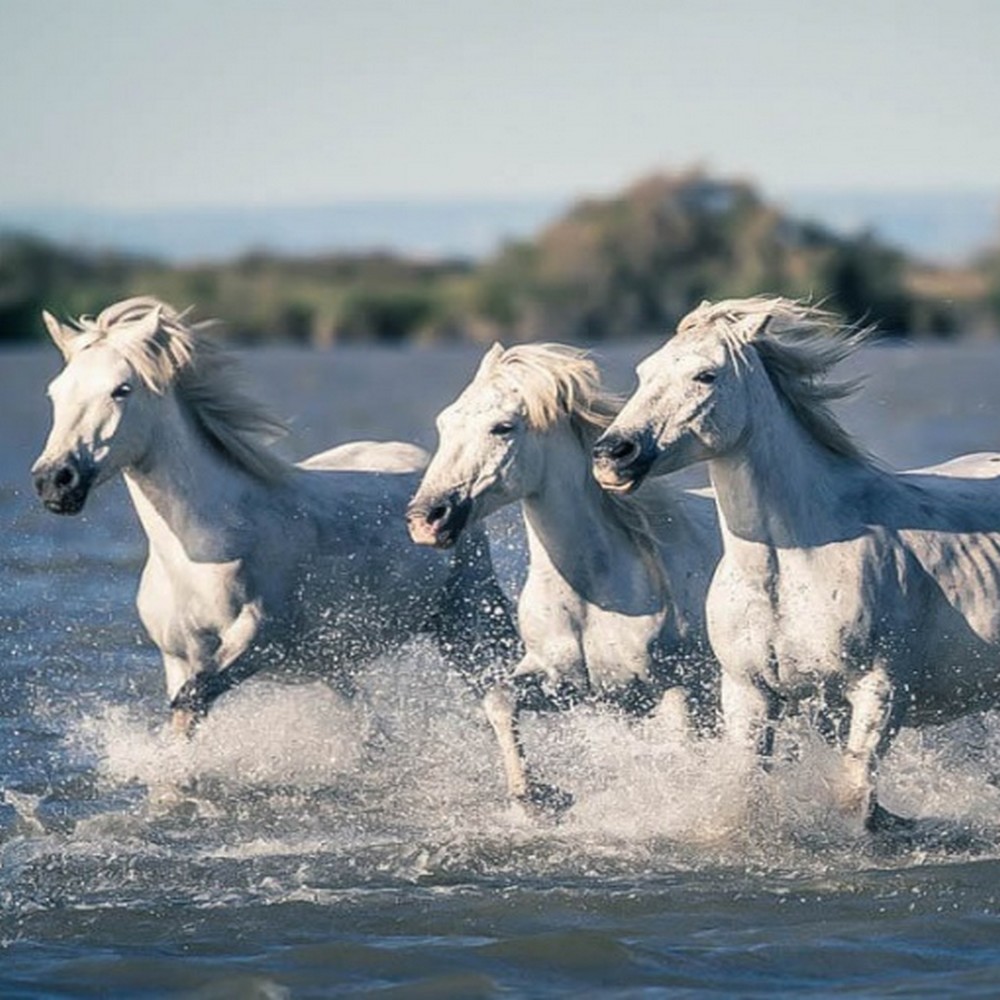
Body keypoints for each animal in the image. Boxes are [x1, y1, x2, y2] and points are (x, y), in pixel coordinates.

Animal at [31, 296, 516, 736]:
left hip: (464, 616)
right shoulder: (178, 656)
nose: (55, 480)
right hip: (335, 667)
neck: (202, 547)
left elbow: (193, 698)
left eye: (121, 389)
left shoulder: (260, 640)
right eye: (55, 392)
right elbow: (182, 720)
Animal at [404, 344, 720, 812]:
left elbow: (683, 739)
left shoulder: (674, 688)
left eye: (503, 427)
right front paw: (534, 796)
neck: (594, 594)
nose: (426, 519)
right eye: (446, 422)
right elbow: (500, 699)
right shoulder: (563, 684)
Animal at [592, 294, 1000, 828]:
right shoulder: (749, 693)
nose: (612, 454)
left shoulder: (879, 690)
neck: (794, 562)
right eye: (644, 372)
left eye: (706, 375)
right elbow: (748, 788)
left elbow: (855, 799)